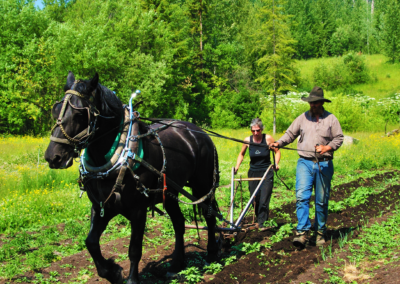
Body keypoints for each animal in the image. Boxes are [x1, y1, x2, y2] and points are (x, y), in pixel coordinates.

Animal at [45, 72, 220, 282]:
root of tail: (200, 132)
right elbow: (91, 242)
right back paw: (176, 264)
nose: (53, 157)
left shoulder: (138, 210)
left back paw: (212, 254)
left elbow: (134, 249)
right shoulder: (102, 207)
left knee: (209, 215)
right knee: (179, 223)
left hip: (202, 185)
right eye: (55, 111)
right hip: (170, 192)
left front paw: (130, 279)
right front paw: (112, 272)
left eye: (80, 114)